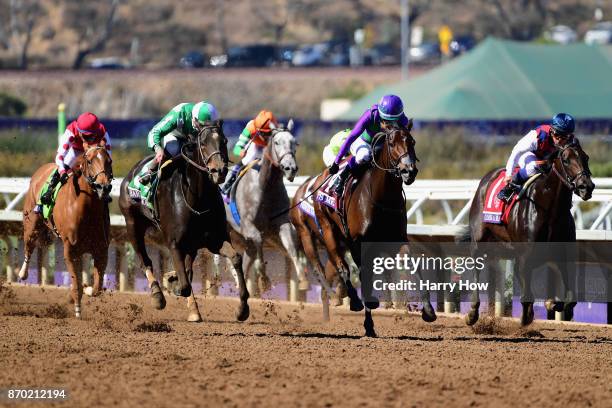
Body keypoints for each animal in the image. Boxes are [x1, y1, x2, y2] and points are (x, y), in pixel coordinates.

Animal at [19, 145, 113, 318]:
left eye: (109, 161)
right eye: (90, 161)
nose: (104, 187)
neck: (86, 208)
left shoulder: (101, 249)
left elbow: (97, 287)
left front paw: (88, 288)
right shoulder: (70, 250)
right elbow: (76, 286)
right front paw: (78, 312)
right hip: (31, 225)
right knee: (29, 247)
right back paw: (23, 273)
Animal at [214, 119, 310, 294]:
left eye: (295, 143)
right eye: (277, 142)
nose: (290, 168)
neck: (265, 186)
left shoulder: (282, 222)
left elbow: (291, 247)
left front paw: (303, 278)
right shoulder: (248, 226)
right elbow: (258, 242)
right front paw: (264, 279)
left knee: (245, 260)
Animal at [292, 121, 436, 338]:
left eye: (412, 141)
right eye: (392, 143)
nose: (408, 171)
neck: (383, 197)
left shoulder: (397, 239)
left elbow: (413, 266)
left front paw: (428, 310)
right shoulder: (359, 243)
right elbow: (362, 275)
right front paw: (369, 323)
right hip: (325, 231)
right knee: (340, 266)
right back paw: (353, 301)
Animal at [462, 139, 596, 326]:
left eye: (586, 157)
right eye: (566, 160)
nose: (586, 186)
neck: (550, 210)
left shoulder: (561, 251)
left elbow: (570, 297)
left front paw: (553, 304)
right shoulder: (526, 254)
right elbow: (527, 293)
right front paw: (528, 315)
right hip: (479, 241)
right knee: (477, 267)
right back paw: (472, 313)